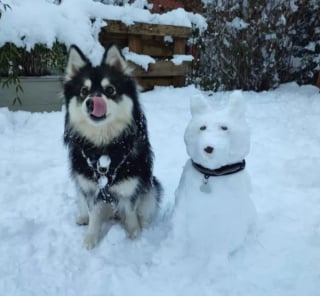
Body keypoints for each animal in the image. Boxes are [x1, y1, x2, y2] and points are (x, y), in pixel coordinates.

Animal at [62, 45, 162, 249]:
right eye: (84, 91)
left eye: (110, 89)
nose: (91, 102)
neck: (103, 148)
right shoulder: (91, 189)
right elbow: (94, 215)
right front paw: (90, 238)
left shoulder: (131, 187)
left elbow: (130, 212)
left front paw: (135, 235)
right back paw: (83, 217)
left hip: (153, 186)